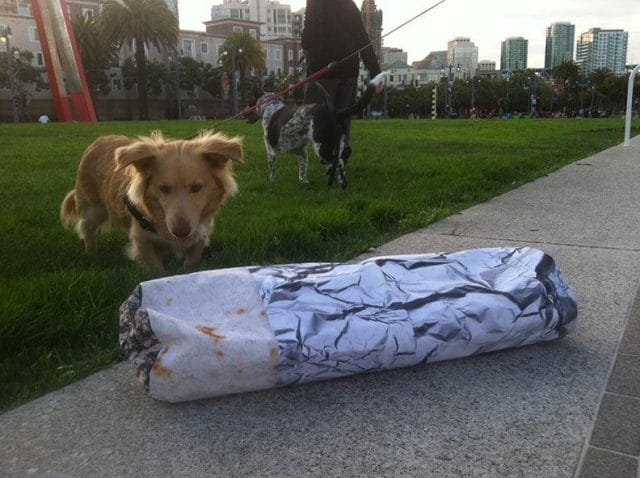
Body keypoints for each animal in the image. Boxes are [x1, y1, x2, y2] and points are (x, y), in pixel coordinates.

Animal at [61, 130, 244, 268]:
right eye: (163, 188)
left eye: (196, 187)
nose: (181, 231)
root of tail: (99, 140)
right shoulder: (142, 239)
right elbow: (156, 269)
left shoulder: (200, 235)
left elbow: (191, 262)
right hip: (93, 209)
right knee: (86, 229)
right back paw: (91, 255)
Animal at [250, 72, 384, 188]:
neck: (270, 106)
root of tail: (336, 113)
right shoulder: (302, 151)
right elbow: (302, 170)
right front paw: (304, 182)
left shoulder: (270, 150)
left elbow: (272, 170)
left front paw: (272, 182)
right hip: (338, 145)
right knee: (341, 163)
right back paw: (339, 184)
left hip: (322, 148)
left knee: (338, 163)